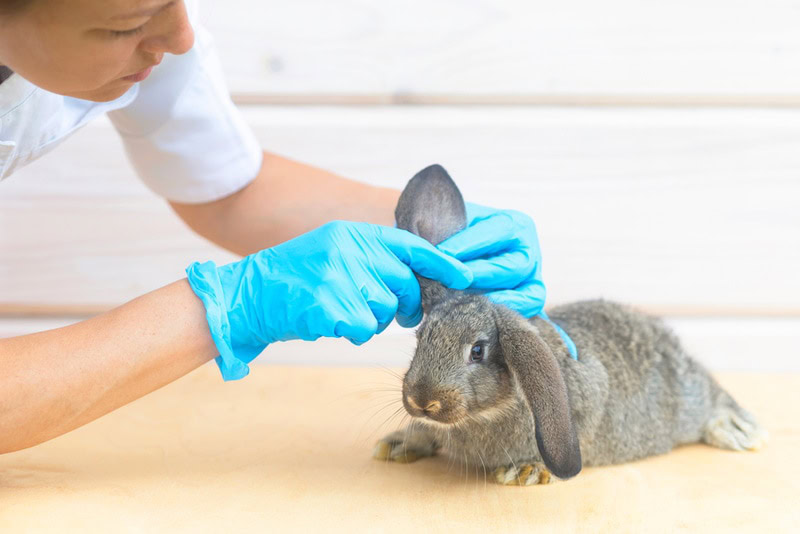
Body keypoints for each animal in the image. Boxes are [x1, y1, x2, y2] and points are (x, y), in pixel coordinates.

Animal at [372, 164, 768, 485]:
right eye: (420, 339)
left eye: (478, 351)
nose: (422, 401)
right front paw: (398, 442)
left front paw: (526, 470)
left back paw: (738, 429)